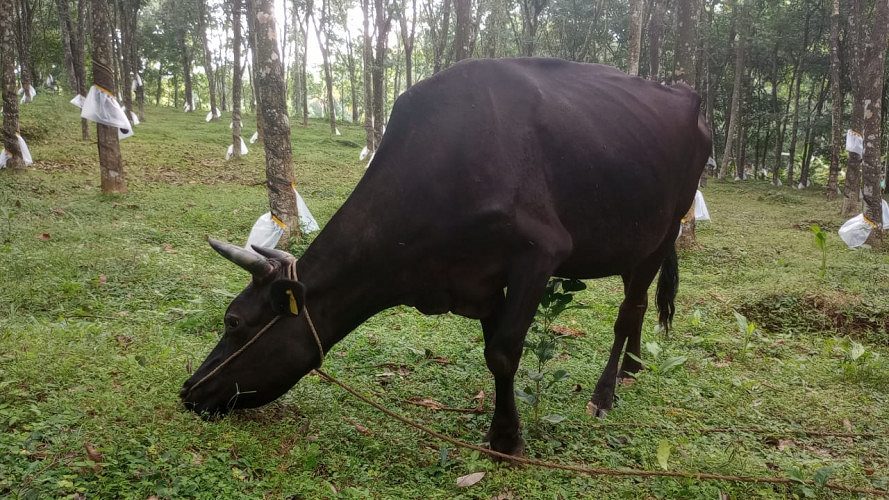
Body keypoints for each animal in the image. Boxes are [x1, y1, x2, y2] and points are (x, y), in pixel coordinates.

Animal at [180, 57, 711, 457]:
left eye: (233, 321)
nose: (190, 390)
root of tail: (689, 98)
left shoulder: (539, 253)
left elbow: (502, 352)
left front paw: (506, 441)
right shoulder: (476, 281)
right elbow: (495, 349)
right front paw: (505, 428)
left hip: (665, 230)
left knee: (630, 310)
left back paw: (605, 394)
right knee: (636, 305)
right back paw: (632, 367)